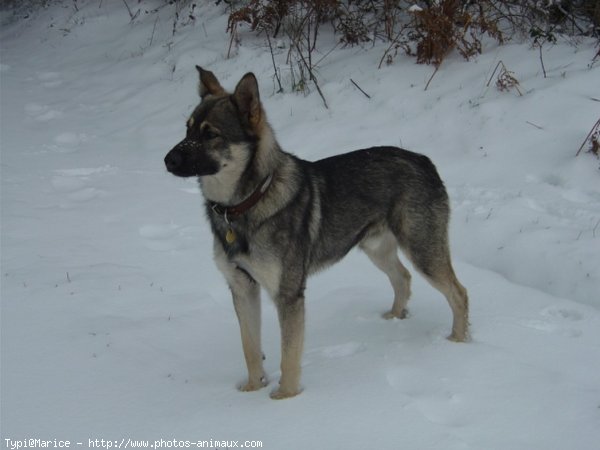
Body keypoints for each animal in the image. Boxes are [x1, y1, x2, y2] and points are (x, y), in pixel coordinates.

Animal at [164, 66, 468, 398]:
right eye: (187, 130)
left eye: (210, 134)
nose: (168, 160)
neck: (245, 204)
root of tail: (424, 160)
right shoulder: (242, 289)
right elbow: (250, 347)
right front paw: (252, 388)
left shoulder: (288, 295)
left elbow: (289, 354)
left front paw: (285, 397)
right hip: (377, 249)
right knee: (403, 277)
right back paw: (394, 319)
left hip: (423, 251)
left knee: (459, 292)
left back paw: (459, 341)